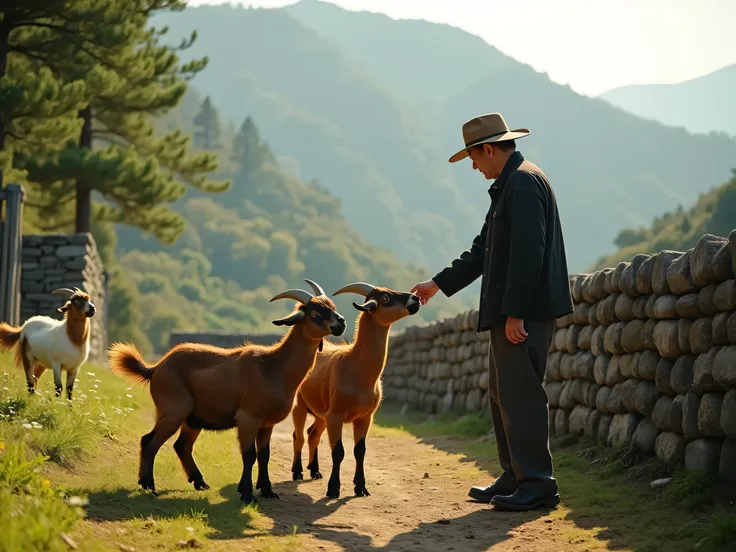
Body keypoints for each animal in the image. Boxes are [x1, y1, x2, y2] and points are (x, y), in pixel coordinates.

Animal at [108, 280, 346, 504]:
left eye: (332, 307)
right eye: (314, 312)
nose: (341, 321)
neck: (274, 367)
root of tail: (156, 368)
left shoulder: (266, 423)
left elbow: (264, 455)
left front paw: (267, 491)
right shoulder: (248, 417)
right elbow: (249, 455)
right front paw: (247, 494)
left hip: (193, 418)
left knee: (181, 445)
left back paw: (199, 482)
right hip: (174, 408)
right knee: (150, 441)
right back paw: (149, 486)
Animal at [292, 282, 420, 498]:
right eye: (385, 298)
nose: (416, 298)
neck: (355, 365)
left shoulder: (364, 417)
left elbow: (360, 451)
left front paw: (361, 487)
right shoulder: (336, 416)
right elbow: (338, 452)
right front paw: (333, 489)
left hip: (321, 413)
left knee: (312, 434)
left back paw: (315, 470)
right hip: (300, 406)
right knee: (298, 435)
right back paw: (297, 471)